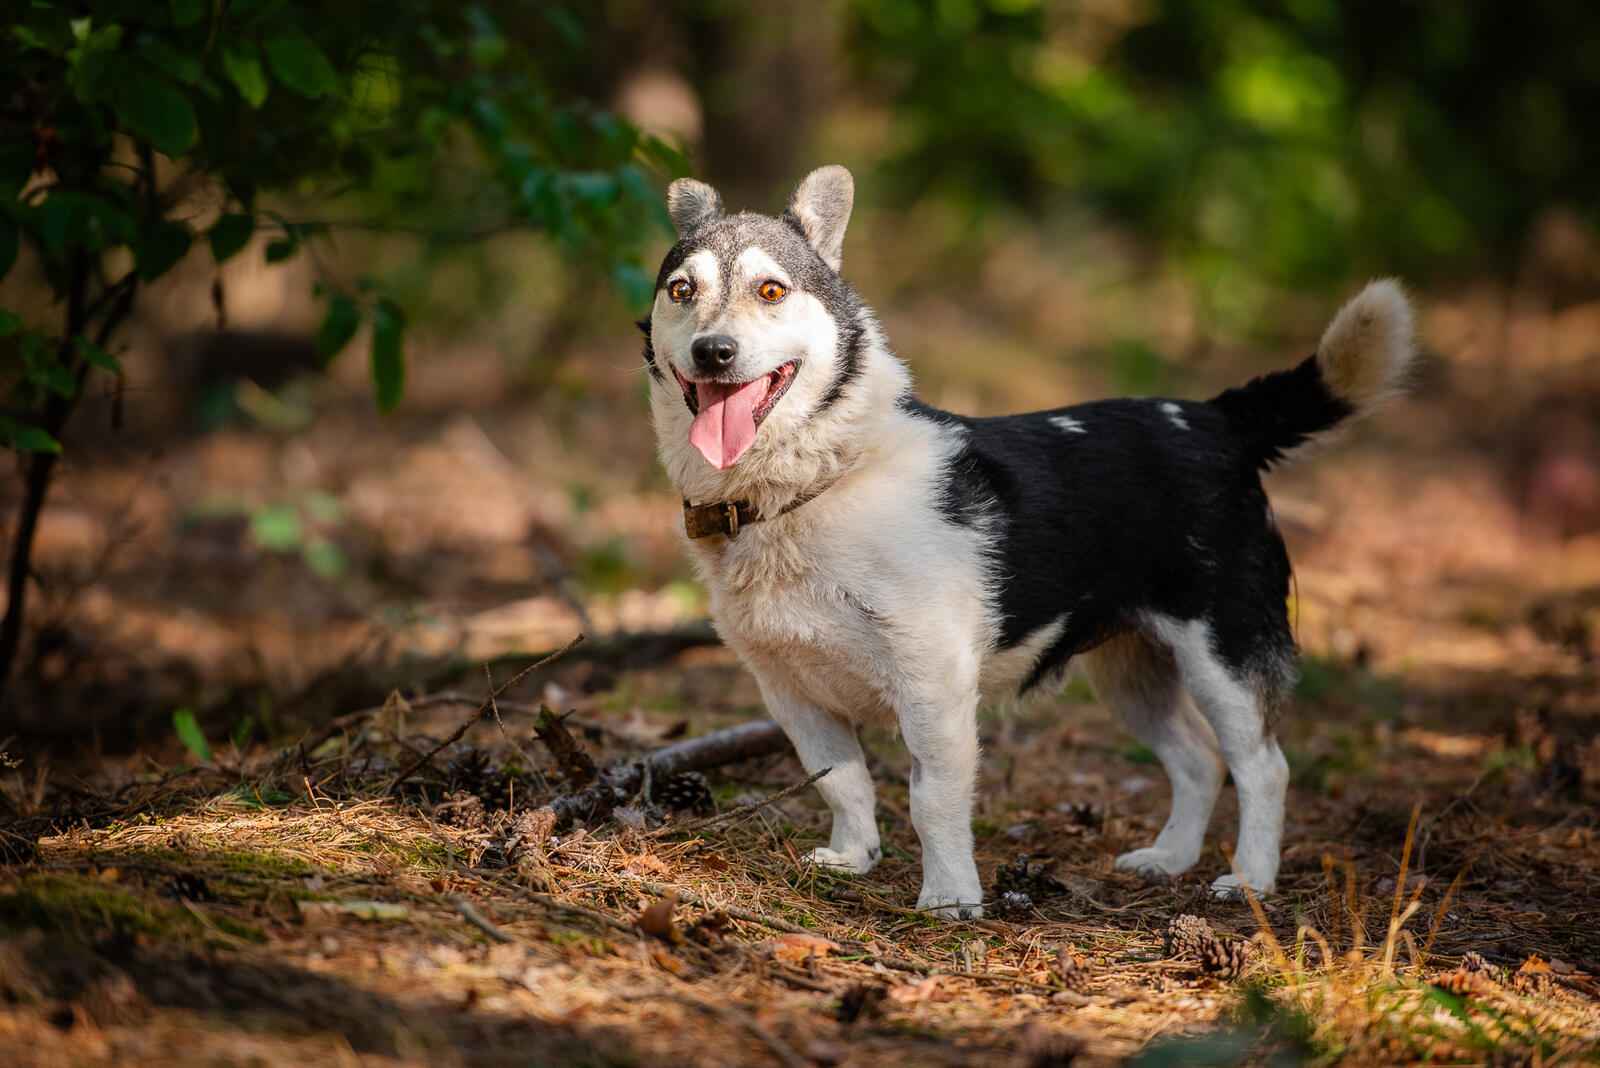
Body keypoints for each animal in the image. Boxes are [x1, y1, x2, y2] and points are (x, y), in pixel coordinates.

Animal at [636, 164, 1414, 920]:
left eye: (771, 290)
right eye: (682, 290)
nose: (713, 352)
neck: (814, 483)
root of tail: (1218, 420)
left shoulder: (935, 685)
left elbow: (932, 799)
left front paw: (950, 898)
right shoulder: (790, 690)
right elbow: (841, 782)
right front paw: (854, 859)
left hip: (1225, 654)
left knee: (1262, 767)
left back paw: (1249, 879)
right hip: (1132, 671)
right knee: (1198, 760)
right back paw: (1169, 859)